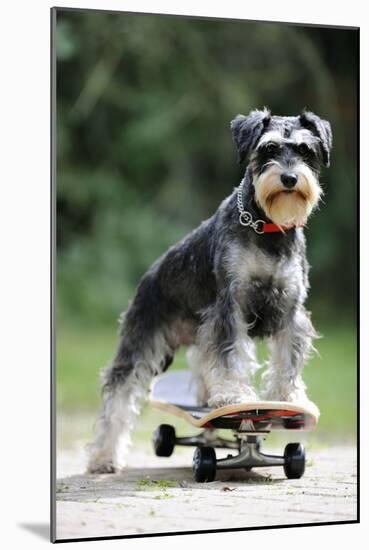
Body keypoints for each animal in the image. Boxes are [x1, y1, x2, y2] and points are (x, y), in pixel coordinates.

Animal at [86, 110, 330, 476]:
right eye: (268, 148)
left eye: (305, 150)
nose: (289, 178)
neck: (268, 228)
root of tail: (149, 274)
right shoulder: (230, 307)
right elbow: (230, 357)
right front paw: (234, 398)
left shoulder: (291, 309)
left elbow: (287, 358)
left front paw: (288, 399)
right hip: (142, 341)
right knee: (119, 393)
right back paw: (104, 456)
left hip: (198, 335)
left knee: (201, 363)